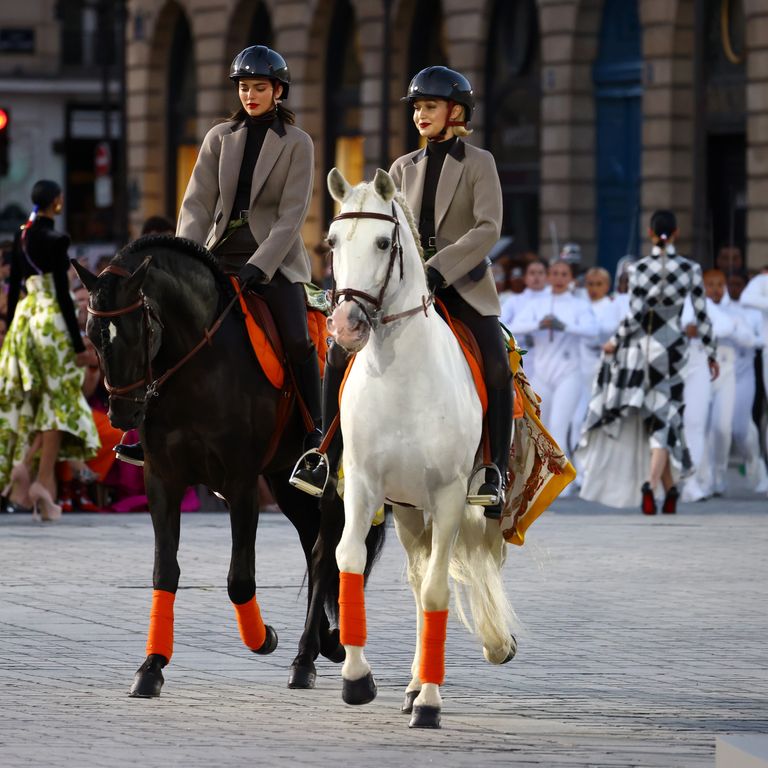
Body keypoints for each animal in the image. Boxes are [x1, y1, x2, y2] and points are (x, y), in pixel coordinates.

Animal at [75, 236, 380, 696]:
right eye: (93, 335)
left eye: (138, 331)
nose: (122, 414)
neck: (198, 366)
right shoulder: (162, 478)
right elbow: (164, 570)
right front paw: (151, 666)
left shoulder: (240, 482)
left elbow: (239, 580)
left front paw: (262, 636)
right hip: (285, 482)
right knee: (313, 547)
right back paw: (324, 644)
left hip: (333, 480)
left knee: (325, 549)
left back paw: (308, 655)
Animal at [328, 166, 512, 728]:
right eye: (331, 241)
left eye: (384, 242)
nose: (345, 325)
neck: (400, 377)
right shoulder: (363, 485)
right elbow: (349, 560)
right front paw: (357, 678)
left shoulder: (450, 495)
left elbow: (437, 589)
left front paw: (430, 702)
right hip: (407, 506)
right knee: (414, 576)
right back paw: (408, 684)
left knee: (430, 580)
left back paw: (421, 688)